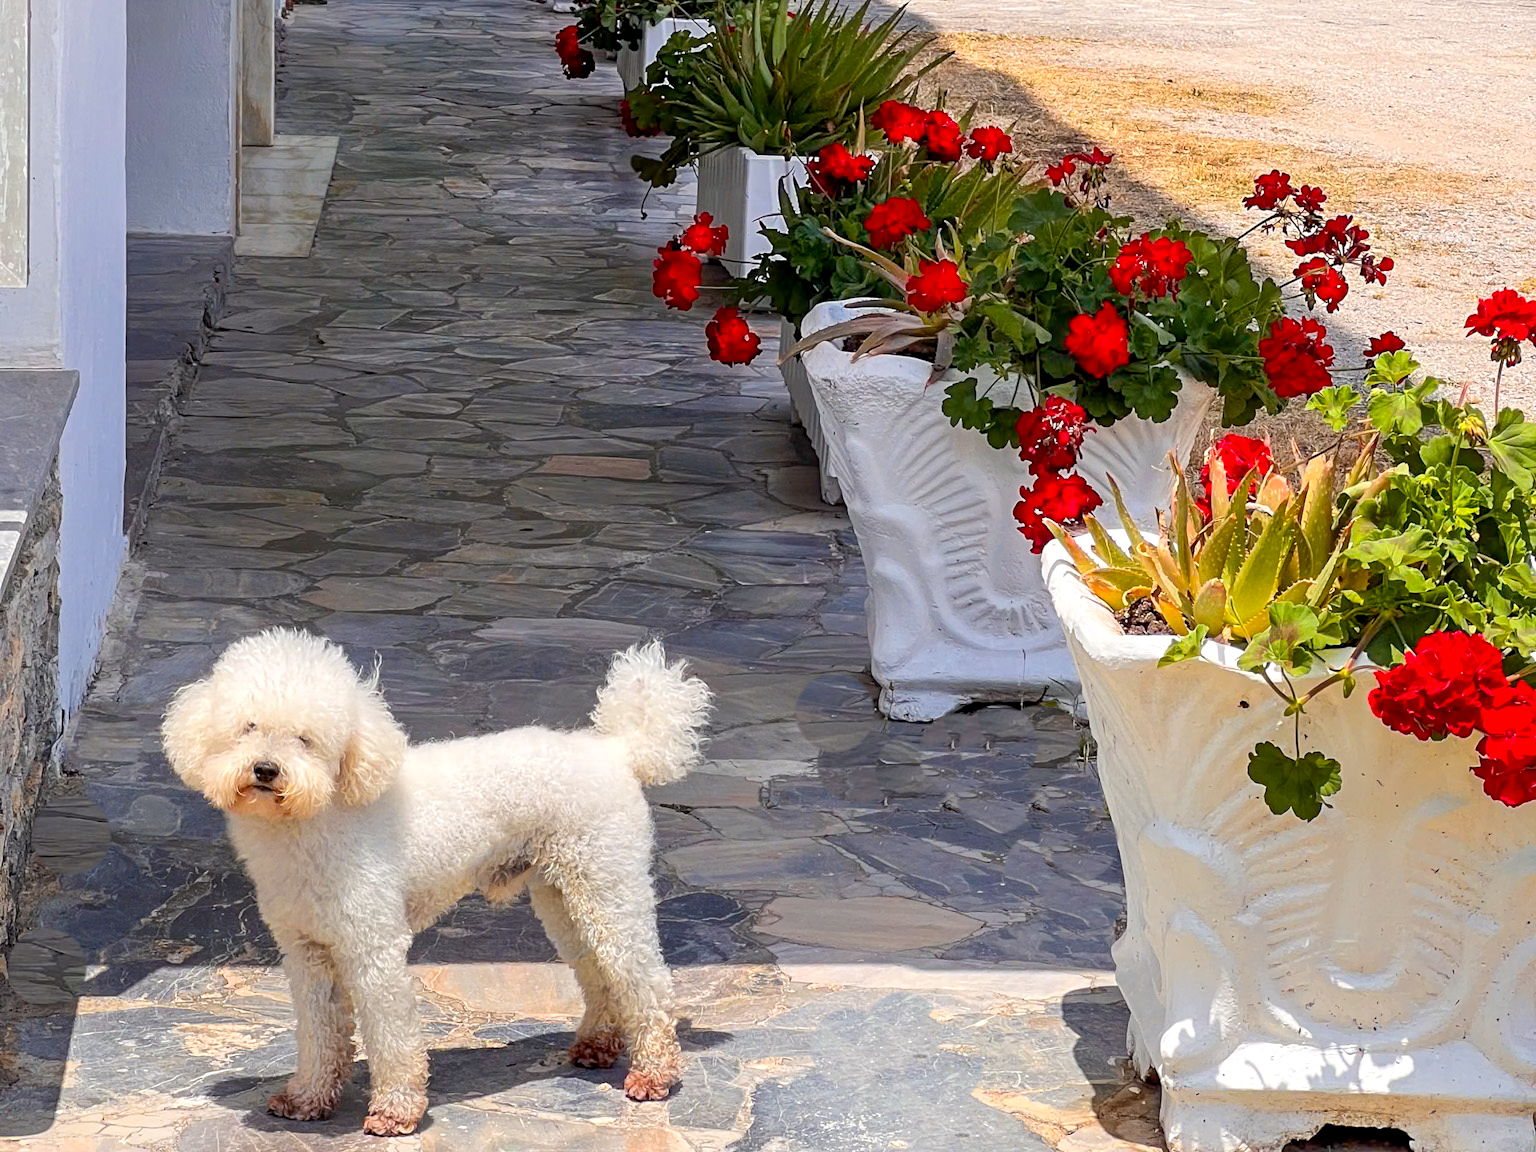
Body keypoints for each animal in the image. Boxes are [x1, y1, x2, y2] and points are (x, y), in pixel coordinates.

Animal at [165, 632, 715, 1136]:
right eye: (248, 727)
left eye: (306, 738)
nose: (266, 770)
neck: (315, 816)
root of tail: (615, 750)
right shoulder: (307, 950)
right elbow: (319, 1032)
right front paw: (307, 1098)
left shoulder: (372, 946)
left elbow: (390, 1031)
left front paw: (396, 1110)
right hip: (564, 897)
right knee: (599, 972)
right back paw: (598, 1044)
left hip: (607, 884)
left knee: (644, 980)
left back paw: (655, 1073)